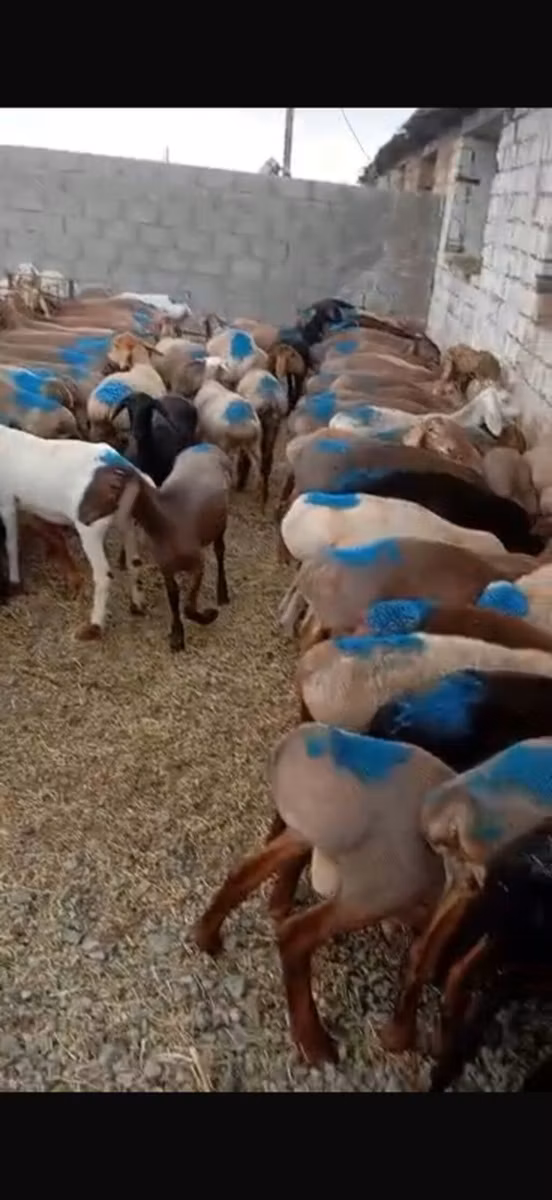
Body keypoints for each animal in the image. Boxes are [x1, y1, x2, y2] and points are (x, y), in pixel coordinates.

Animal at [0, 426, 146, 638]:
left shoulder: (7, 501)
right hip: (126, 520)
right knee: (134, 562)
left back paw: (93, 627)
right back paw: (137, 606)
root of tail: (127, 470)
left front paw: (14, 583)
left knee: (104, 574)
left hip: (90, 527)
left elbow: (11, 544)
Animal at [193, 721, 453, 1064]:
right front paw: (400, 1037)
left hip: (304, 835)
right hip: (378, 887)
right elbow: (422, 959)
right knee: (296, 934)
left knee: (245, 872)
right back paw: (315, 1044)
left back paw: (207, 936)